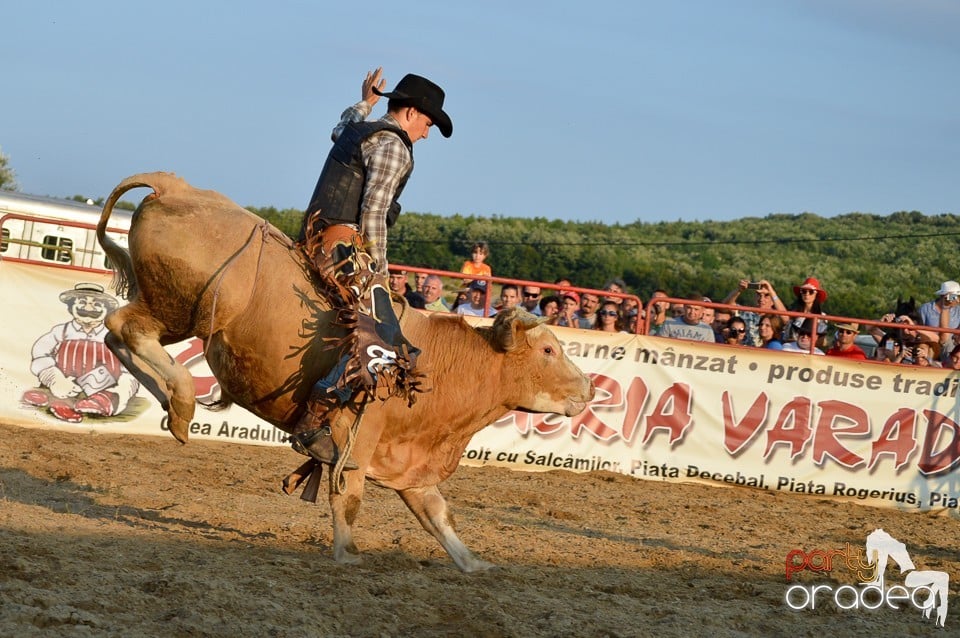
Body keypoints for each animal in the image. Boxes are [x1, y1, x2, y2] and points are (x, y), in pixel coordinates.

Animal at [97, 172, 592, 572]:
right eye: (548, 349)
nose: (588, 388)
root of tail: (173, 186)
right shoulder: (353, 435)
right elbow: (348, 498)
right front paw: (348, 555)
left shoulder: (406, 460)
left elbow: (438, 514)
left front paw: (475, 564)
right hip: (180, 309)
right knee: (124, 327)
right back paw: (181, 399)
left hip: (173, 314)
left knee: (116, 335)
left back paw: (170, 403)